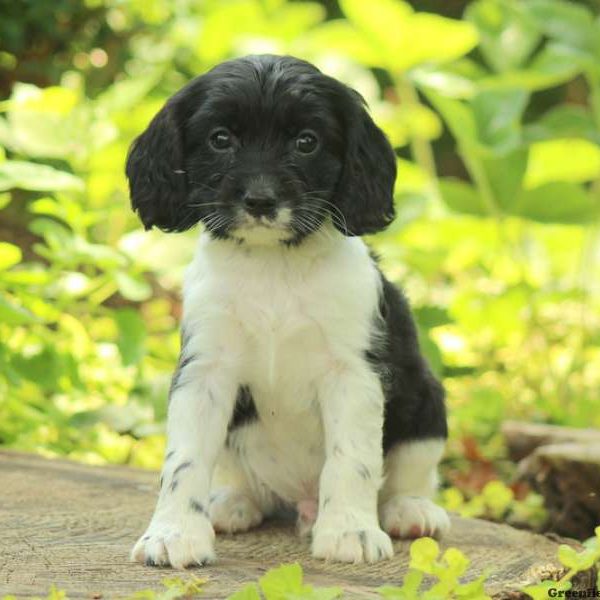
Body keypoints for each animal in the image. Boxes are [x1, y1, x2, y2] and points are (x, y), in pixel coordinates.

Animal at [126, 55, 448, 568]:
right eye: (221, 139)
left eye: (306, 141)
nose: (260, 200)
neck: (274, 268)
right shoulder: (205, 371)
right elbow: (185, 460)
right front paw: (174, 534)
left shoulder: (353, 375)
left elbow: (352, 459)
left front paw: (349, 531)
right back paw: (232, 503)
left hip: (427, 405)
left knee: (410, 474)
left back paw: (409, 511)